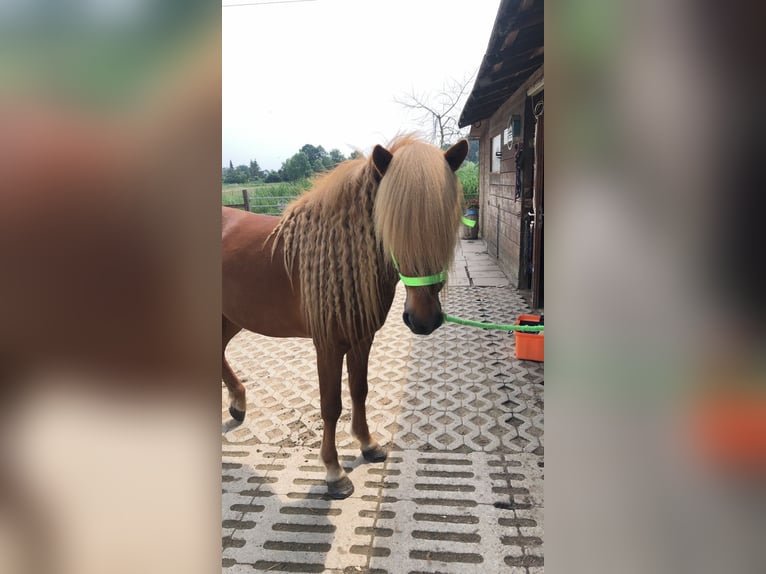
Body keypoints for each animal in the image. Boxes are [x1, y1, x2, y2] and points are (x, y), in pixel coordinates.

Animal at [218, 135, 468, 500]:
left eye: (444, 225)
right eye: (390, 224)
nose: (423, 319)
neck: (339, 257)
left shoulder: (362, 338)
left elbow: (359, 390)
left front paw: (368, 444)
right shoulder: (328, 345)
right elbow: (331, 405)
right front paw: (334, 472)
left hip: (232, 315)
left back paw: (238, 403)